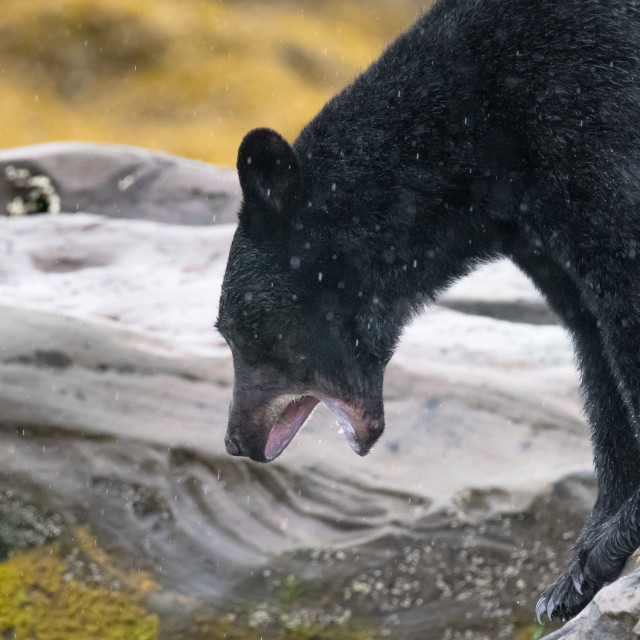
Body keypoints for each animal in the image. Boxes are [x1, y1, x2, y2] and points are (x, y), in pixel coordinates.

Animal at [216, 0, 640, 624]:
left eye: (238, 333)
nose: (235, 441)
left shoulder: (592, 119)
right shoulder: (545, 230)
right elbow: (594, 344)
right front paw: (574, 576)